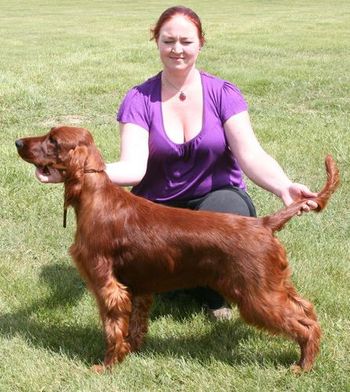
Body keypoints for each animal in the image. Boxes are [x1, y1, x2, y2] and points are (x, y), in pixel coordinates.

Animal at [15, 127, 340, 372]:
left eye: (53, 140)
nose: (18, 142)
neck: (95, 198)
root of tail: (263, 224)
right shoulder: (138, 288)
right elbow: (134, 324)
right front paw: (131, 350)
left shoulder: (107, 285)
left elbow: (111, 328)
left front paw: (107, 365)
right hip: (275, 285)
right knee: (307, 310)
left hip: (257, 295)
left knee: (304, 325)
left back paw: (303, 366)